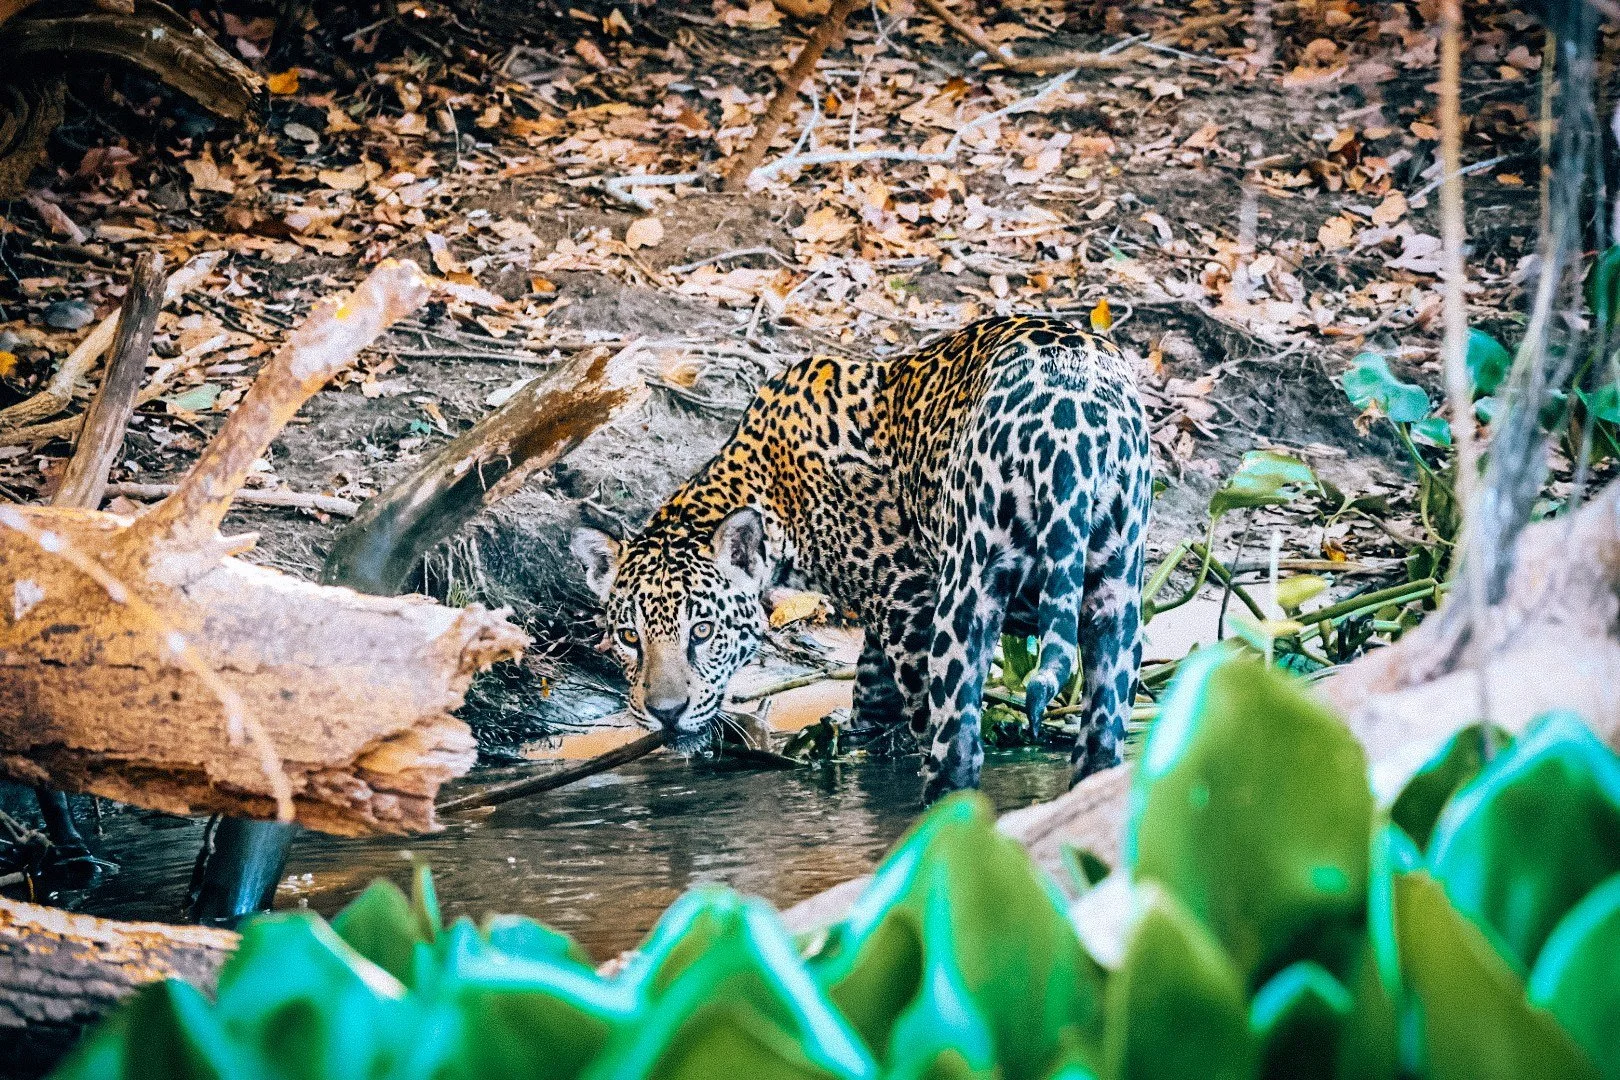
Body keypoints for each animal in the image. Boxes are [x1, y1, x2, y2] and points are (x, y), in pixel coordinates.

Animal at [572, 314, 1153, 801]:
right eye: (629, 637)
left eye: (702, 631)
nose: (666, 714)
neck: (774, 487)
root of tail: (1071, 427)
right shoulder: (884, 610)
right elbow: (871, 686)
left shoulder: (906, 601)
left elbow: (914, 708)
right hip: (1118, 598)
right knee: (1102, 744)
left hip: (967, 598)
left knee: (957, 751)